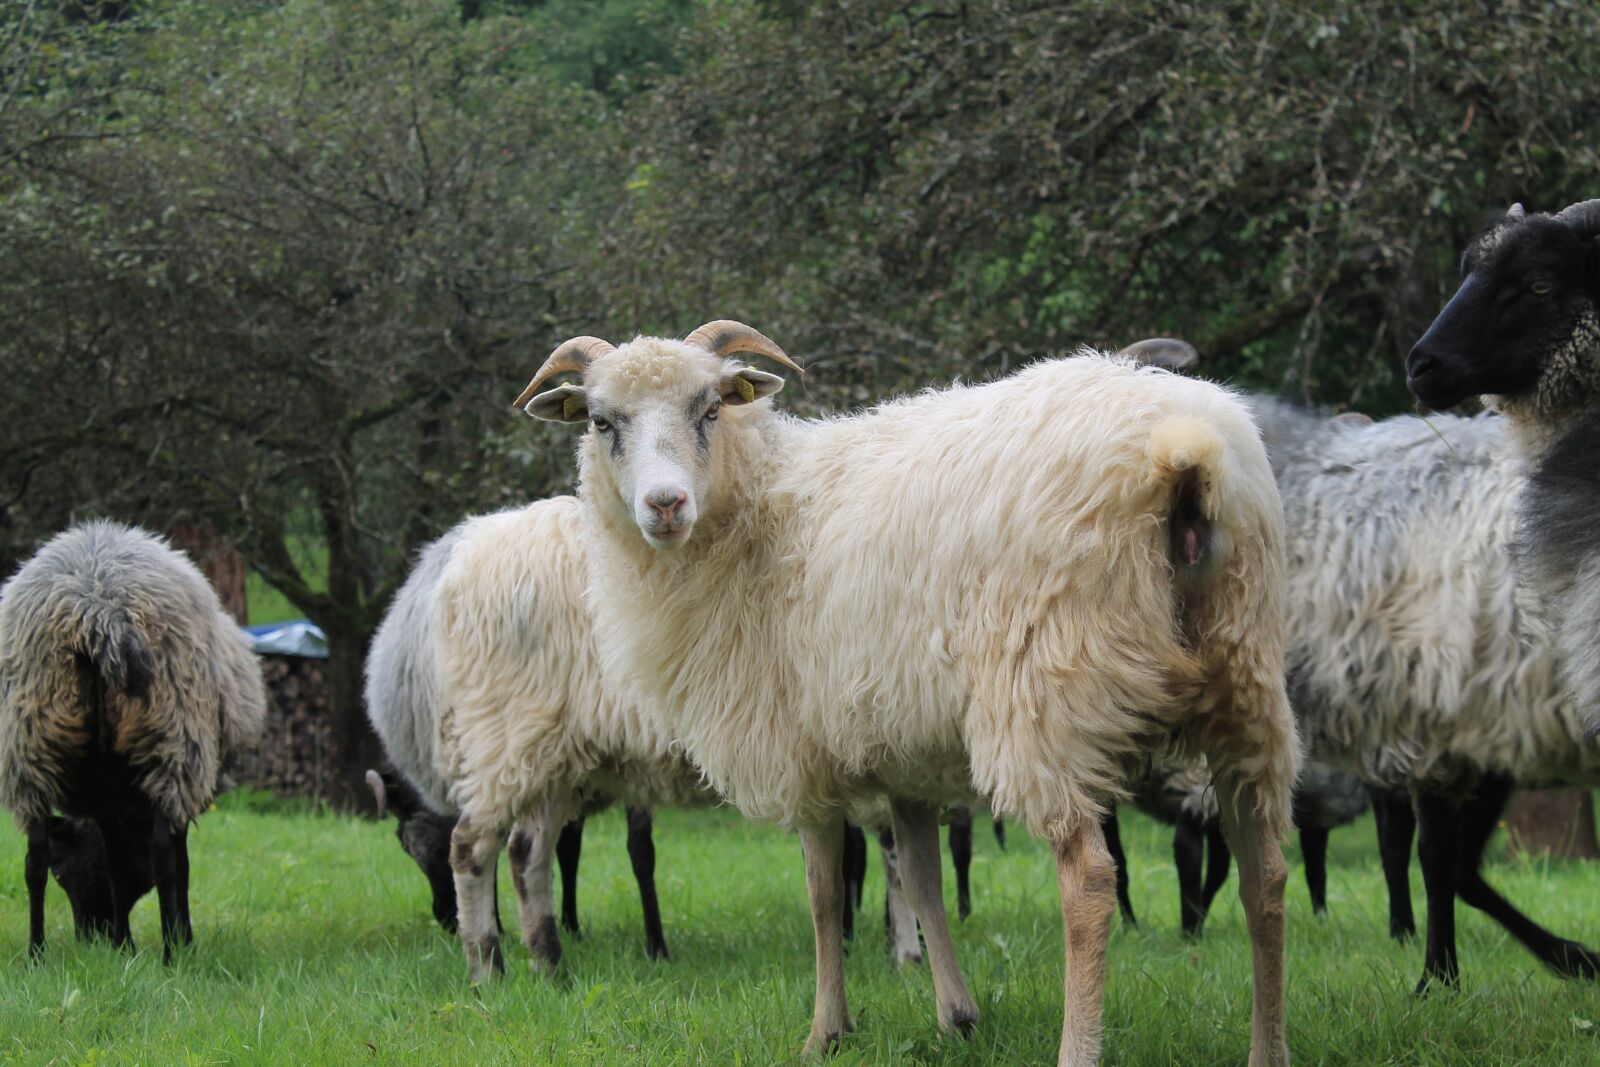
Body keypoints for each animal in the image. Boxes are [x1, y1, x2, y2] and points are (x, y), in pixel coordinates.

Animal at [0, 520, 266, 961]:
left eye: (64, 874)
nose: (90, 935)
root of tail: (96, 610)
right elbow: (178, 864)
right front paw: (179, 937)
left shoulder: (106, 797)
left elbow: (115, 867)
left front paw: (124, 945)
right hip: (173, 741)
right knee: (164, 861)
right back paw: (172, 956)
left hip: (30, 741)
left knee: (32, 861)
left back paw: (36, 954)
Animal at [518, 321, 1299, 1065]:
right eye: (601, 421)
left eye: (709, 408)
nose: (665, 504)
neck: (759, 508)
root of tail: (1183, 449)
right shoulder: (905, 750)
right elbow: (921, 881)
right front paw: (958, 1016)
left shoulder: (804, 747)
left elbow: (824, 893)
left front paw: (826, 1032)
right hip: (1247, 686)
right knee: (1265, 877)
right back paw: (1268, 1050)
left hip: (1048, 694)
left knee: (1088, 882)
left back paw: (1078, 1048)